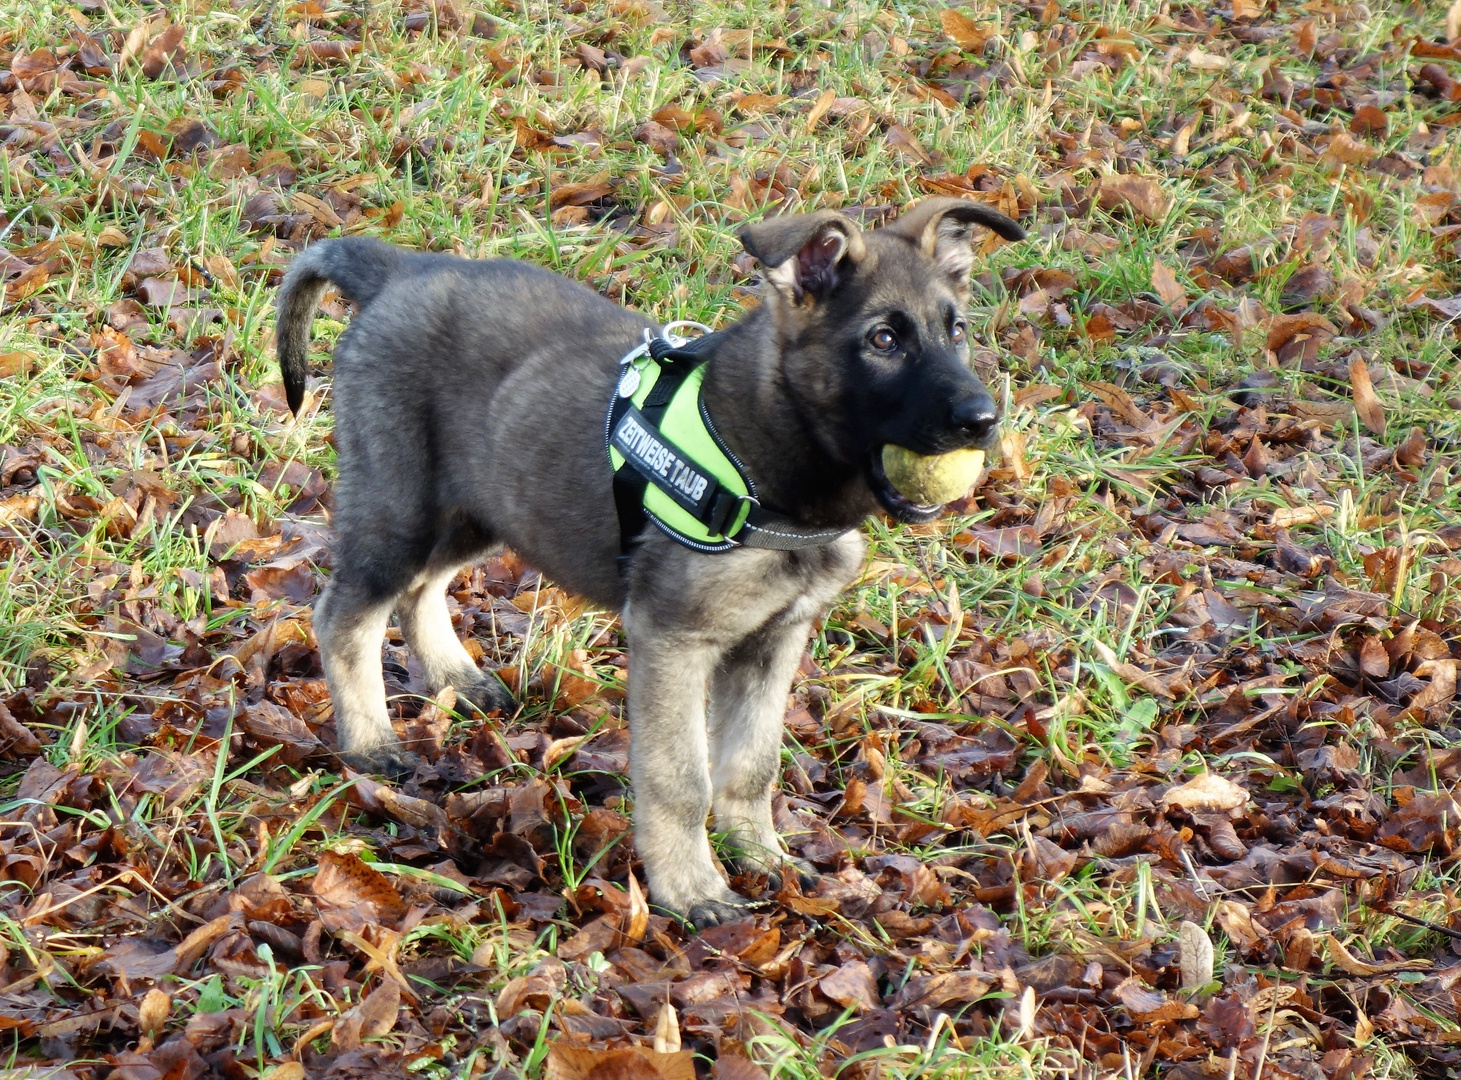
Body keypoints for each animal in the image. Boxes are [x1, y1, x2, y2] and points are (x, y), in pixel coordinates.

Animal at [276, 198, 1028, 923]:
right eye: (883, 340)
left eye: (955, 330)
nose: (983, 420)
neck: (766, 466)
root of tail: (402, 269)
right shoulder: (673, 638)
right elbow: (680, 780)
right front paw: (690, 888)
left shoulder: (775, 639)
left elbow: (752, 763)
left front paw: (762, 857)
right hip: (404, 506)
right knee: (346, 615)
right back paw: (369, 741)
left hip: (484, 502)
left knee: (421, 589)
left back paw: (455, 676)